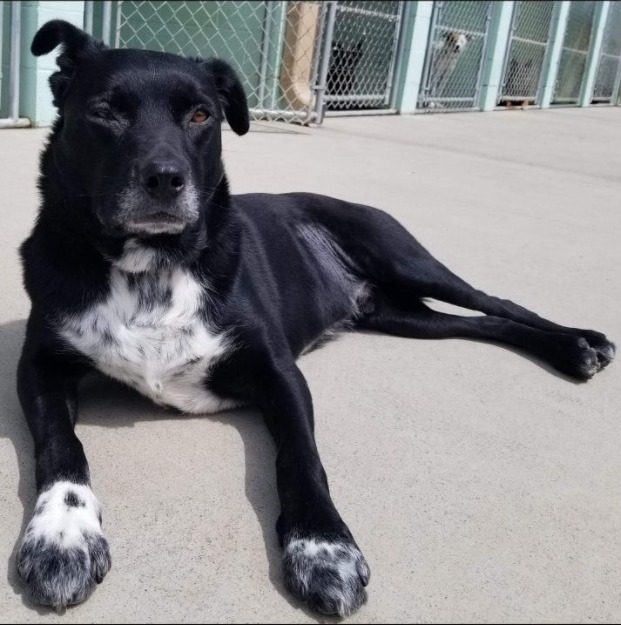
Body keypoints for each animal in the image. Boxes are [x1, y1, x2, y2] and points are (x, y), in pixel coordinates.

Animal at [17, 18, 612, 616]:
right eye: (104, 111)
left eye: (201, 115)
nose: (165, 179)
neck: (151, 269)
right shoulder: (40, 367)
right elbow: (61, 447)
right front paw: (61, 537)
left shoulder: (280, 372)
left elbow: (301, 460)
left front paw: (324, 549)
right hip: (402, 317)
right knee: (479, 323)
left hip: (404, 258)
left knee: (500, 304)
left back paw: (580, 345)